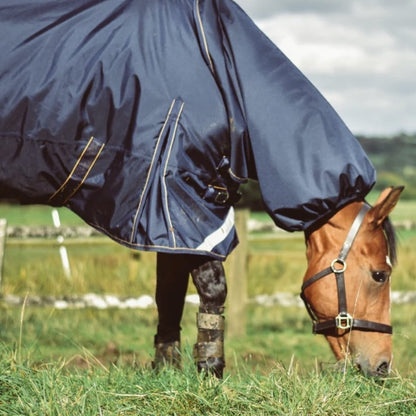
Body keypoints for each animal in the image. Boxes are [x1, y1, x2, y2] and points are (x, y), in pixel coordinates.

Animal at [0, 0, 404, 376]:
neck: (220, 71)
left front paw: (166, 368)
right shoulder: (180, 201)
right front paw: (210, 367)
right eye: (380, 275)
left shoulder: (172, 219)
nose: (383, 366)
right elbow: (211, 286)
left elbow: (169, 290)